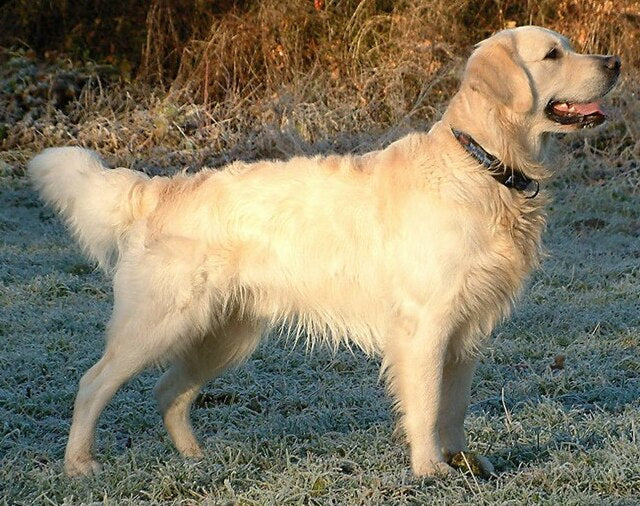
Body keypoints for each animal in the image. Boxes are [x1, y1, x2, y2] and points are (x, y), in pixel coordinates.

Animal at [30, 25, 620, 476]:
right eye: (553, 55)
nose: (615, 62)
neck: (483, 163)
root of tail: (157, 190)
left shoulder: (466, 331)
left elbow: (453, 407)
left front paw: (464, 464)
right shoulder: (425, 326)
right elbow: (427, 405)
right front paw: (430, 470)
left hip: (225, 333)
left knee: (169, 391)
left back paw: (198, 458)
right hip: (160, 320)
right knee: (93, 382)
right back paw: (79, 465)